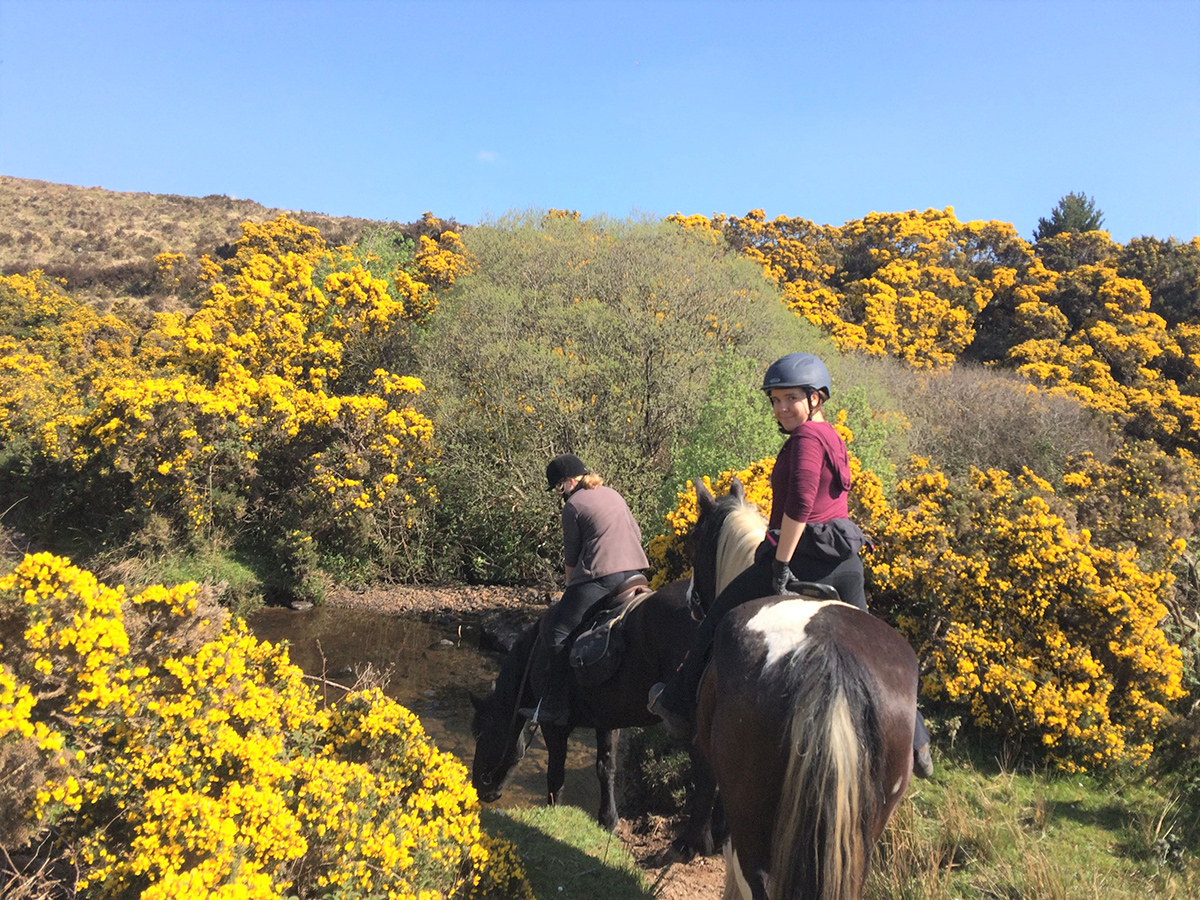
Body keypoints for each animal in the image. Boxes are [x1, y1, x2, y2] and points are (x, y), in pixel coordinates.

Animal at [465, 580, 720, 854]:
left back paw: (693, 842)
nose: (480, 788)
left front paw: (553, 813)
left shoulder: (553, 726)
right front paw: (607, 820)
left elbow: (556, 772)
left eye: (481, 733)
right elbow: (605, 768)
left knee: (706, 773)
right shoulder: (607, 721)